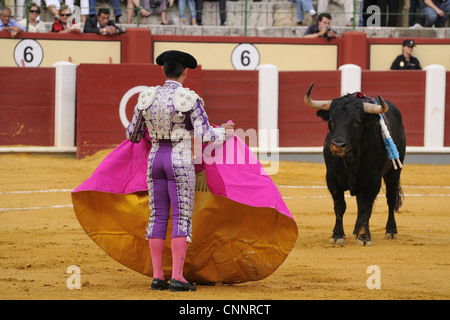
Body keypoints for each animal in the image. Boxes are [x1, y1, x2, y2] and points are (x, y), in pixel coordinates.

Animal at [304, 82, 406, 245]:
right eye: (331, 120)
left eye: (357, 122)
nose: (338, 145)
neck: (351, 160)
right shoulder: (331, 177)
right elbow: (340, 206)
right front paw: (338, 235)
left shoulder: (373, 179)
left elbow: (366, 207)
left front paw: (365, 237)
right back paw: (357, 230)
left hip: (394, 171)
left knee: (390, 199)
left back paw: (391, 231)